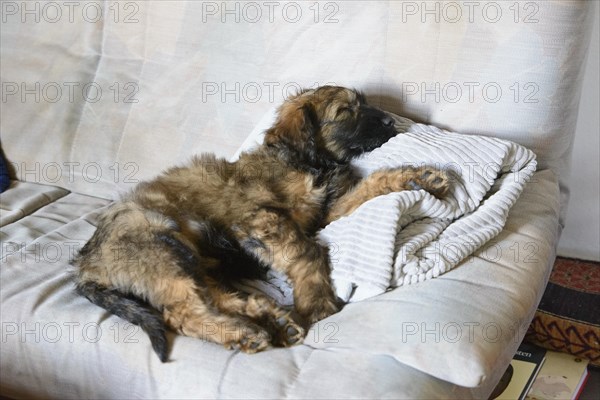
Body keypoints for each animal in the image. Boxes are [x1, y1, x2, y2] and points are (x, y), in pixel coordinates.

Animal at [74, 86, 450, 360]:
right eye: (345, 112)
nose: (390, 121)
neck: (306, 162)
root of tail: (85, 267)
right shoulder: (260, 218)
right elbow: (309, 251)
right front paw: (316, 302)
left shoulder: (321, 214)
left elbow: (371, 184)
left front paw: (421, 177)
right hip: (162, 246)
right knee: (183, 314)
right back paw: (245, 332)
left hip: (194, 261)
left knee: (212, 298)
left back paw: (273, 318)